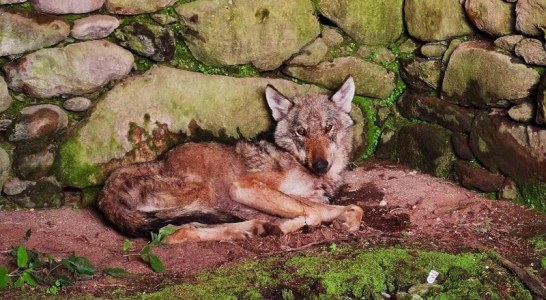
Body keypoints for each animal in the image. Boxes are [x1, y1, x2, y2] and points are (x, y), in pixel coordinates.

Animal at [98, 76, 362, 243]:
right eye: (301, 132)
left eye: (328, 128)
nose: (321, 165)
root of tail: (107, 187)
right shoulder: (245, 187)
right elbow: (313, 214)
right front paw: (284, 226)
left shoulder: (306, 198)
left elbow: (352, 208)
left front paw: (346, 221)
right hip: (201, 197)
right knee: (175, 235)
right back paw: (263, 227)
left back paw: (255, 227)